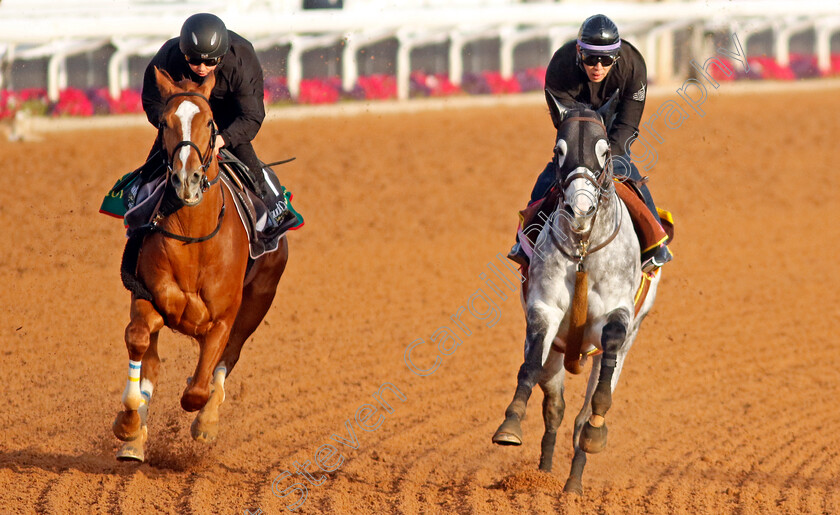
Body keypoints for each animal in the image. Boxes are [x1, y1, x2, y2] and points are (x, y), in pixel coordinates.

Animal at [111, 66, 288, 462]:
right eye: (165, 122)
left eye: (209, 122)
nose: (186, 179)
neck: (194, 238)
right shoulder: (146, 294)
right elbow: (140, 338)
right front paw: (129, 425)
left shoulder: (224, 317)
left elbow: (198, 388)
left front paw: (202, 416)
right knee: (153, 361)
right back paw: (136, 438)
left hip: (259, 300)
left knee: (227, 359)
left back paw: (206, 422)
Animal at [492, 91, 664, 496]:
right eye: (559, 149)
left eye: (605, 151)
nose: (580, 207)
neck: (585, 247)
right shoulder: (545, 308)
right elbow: (529, 368)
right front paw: (510, 425)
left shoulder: (617, 316)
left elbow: (598, 397)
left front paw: (595, 434)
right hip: (557, 352)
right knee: (554, 407)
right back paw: (543, 474)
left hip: (627, 340)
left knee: (585, 410)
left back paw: (573, 482)